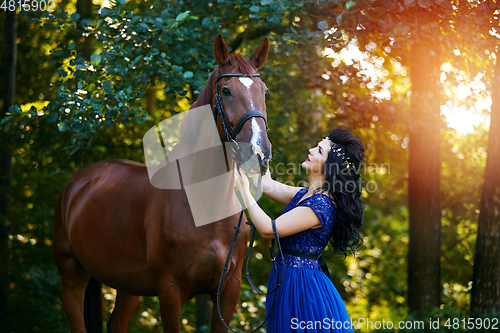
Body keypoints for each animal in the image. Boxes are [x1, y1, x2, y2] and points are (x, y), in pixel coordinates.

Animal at [53, 35, 272, 330]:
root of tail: (77, 184)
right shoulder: (169, 291)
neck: (203, 204)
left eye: (264, 91)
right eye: (226, 91)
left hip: (127, 283)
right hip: (72, 273)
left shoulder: (228, 291)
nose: (260, 152)